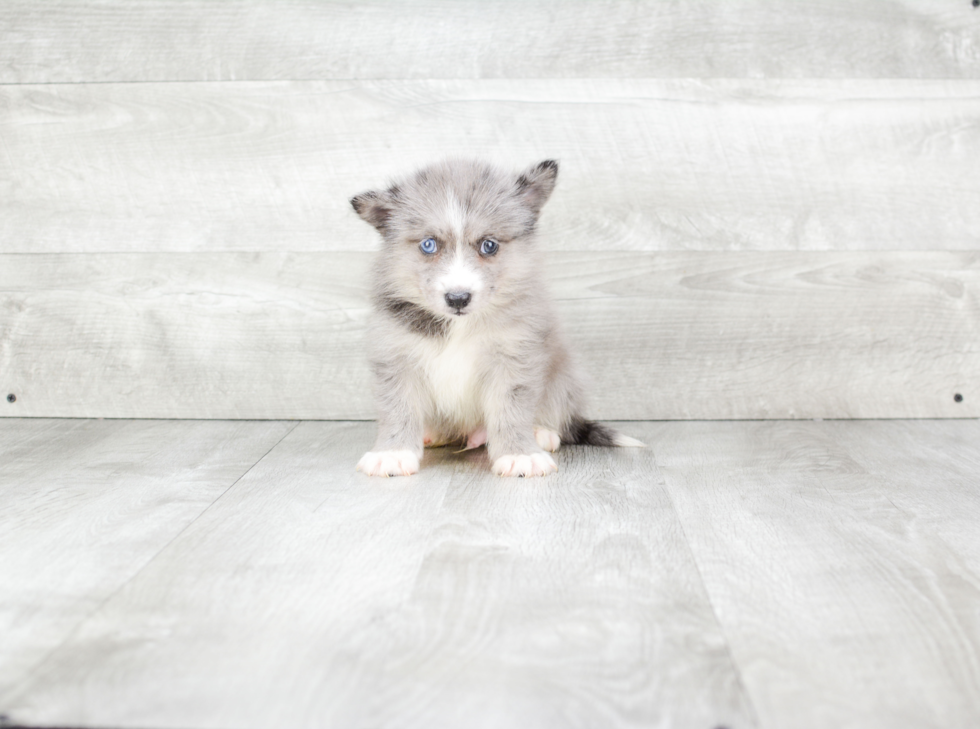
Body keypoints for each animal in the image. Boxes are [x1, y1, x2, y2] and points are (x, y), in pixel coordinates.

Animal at [350, 159, 644, 478]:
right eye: (429, 245)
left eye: (488, 245)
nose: (458, 298)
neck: (460, 326)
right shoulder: (396, 358)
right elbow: (398, 409)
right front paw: (393, 452)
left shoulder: (514, 358)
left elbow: (510, 410)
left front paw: (519, 453)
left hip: (564, 376)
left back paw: (540, 432)